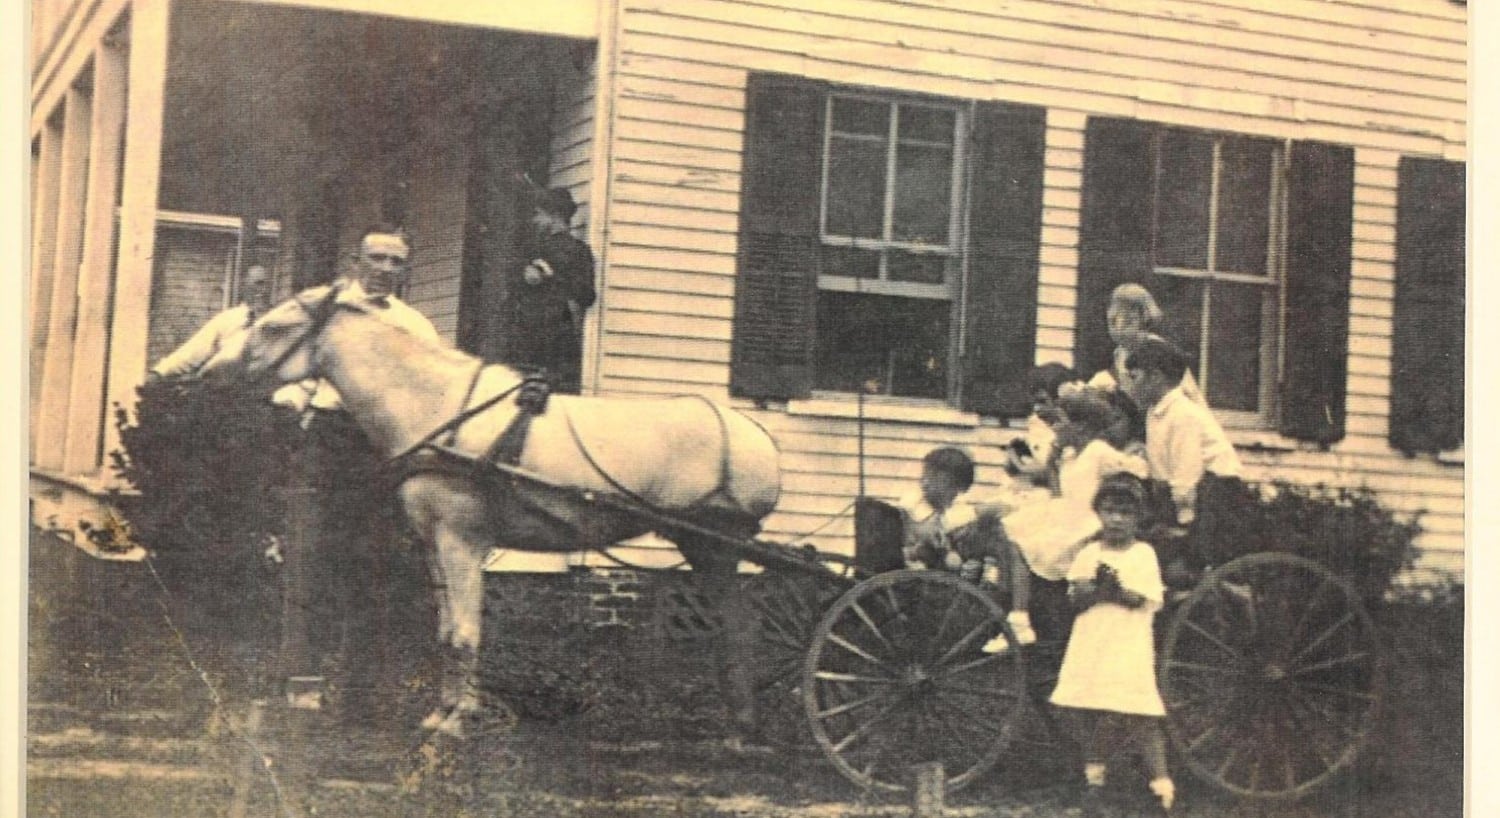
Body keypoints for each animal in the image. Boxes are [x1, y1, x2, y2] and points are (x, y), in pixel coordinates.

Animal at [202, 285, 786, 732]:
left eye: (273, 327)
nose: (209, 372)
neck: (439, 407)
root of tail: (756, 434)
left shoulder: (462, 541)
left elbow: (466, 633)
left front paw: (459, 721)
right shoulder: (434, 543)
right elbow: (445, 633)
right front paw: (440, 714)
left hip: (717, 545)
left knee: (738, 625)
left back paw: (744, 725)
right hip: (705, 547)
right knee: (735, 625)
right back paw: (740, 718)